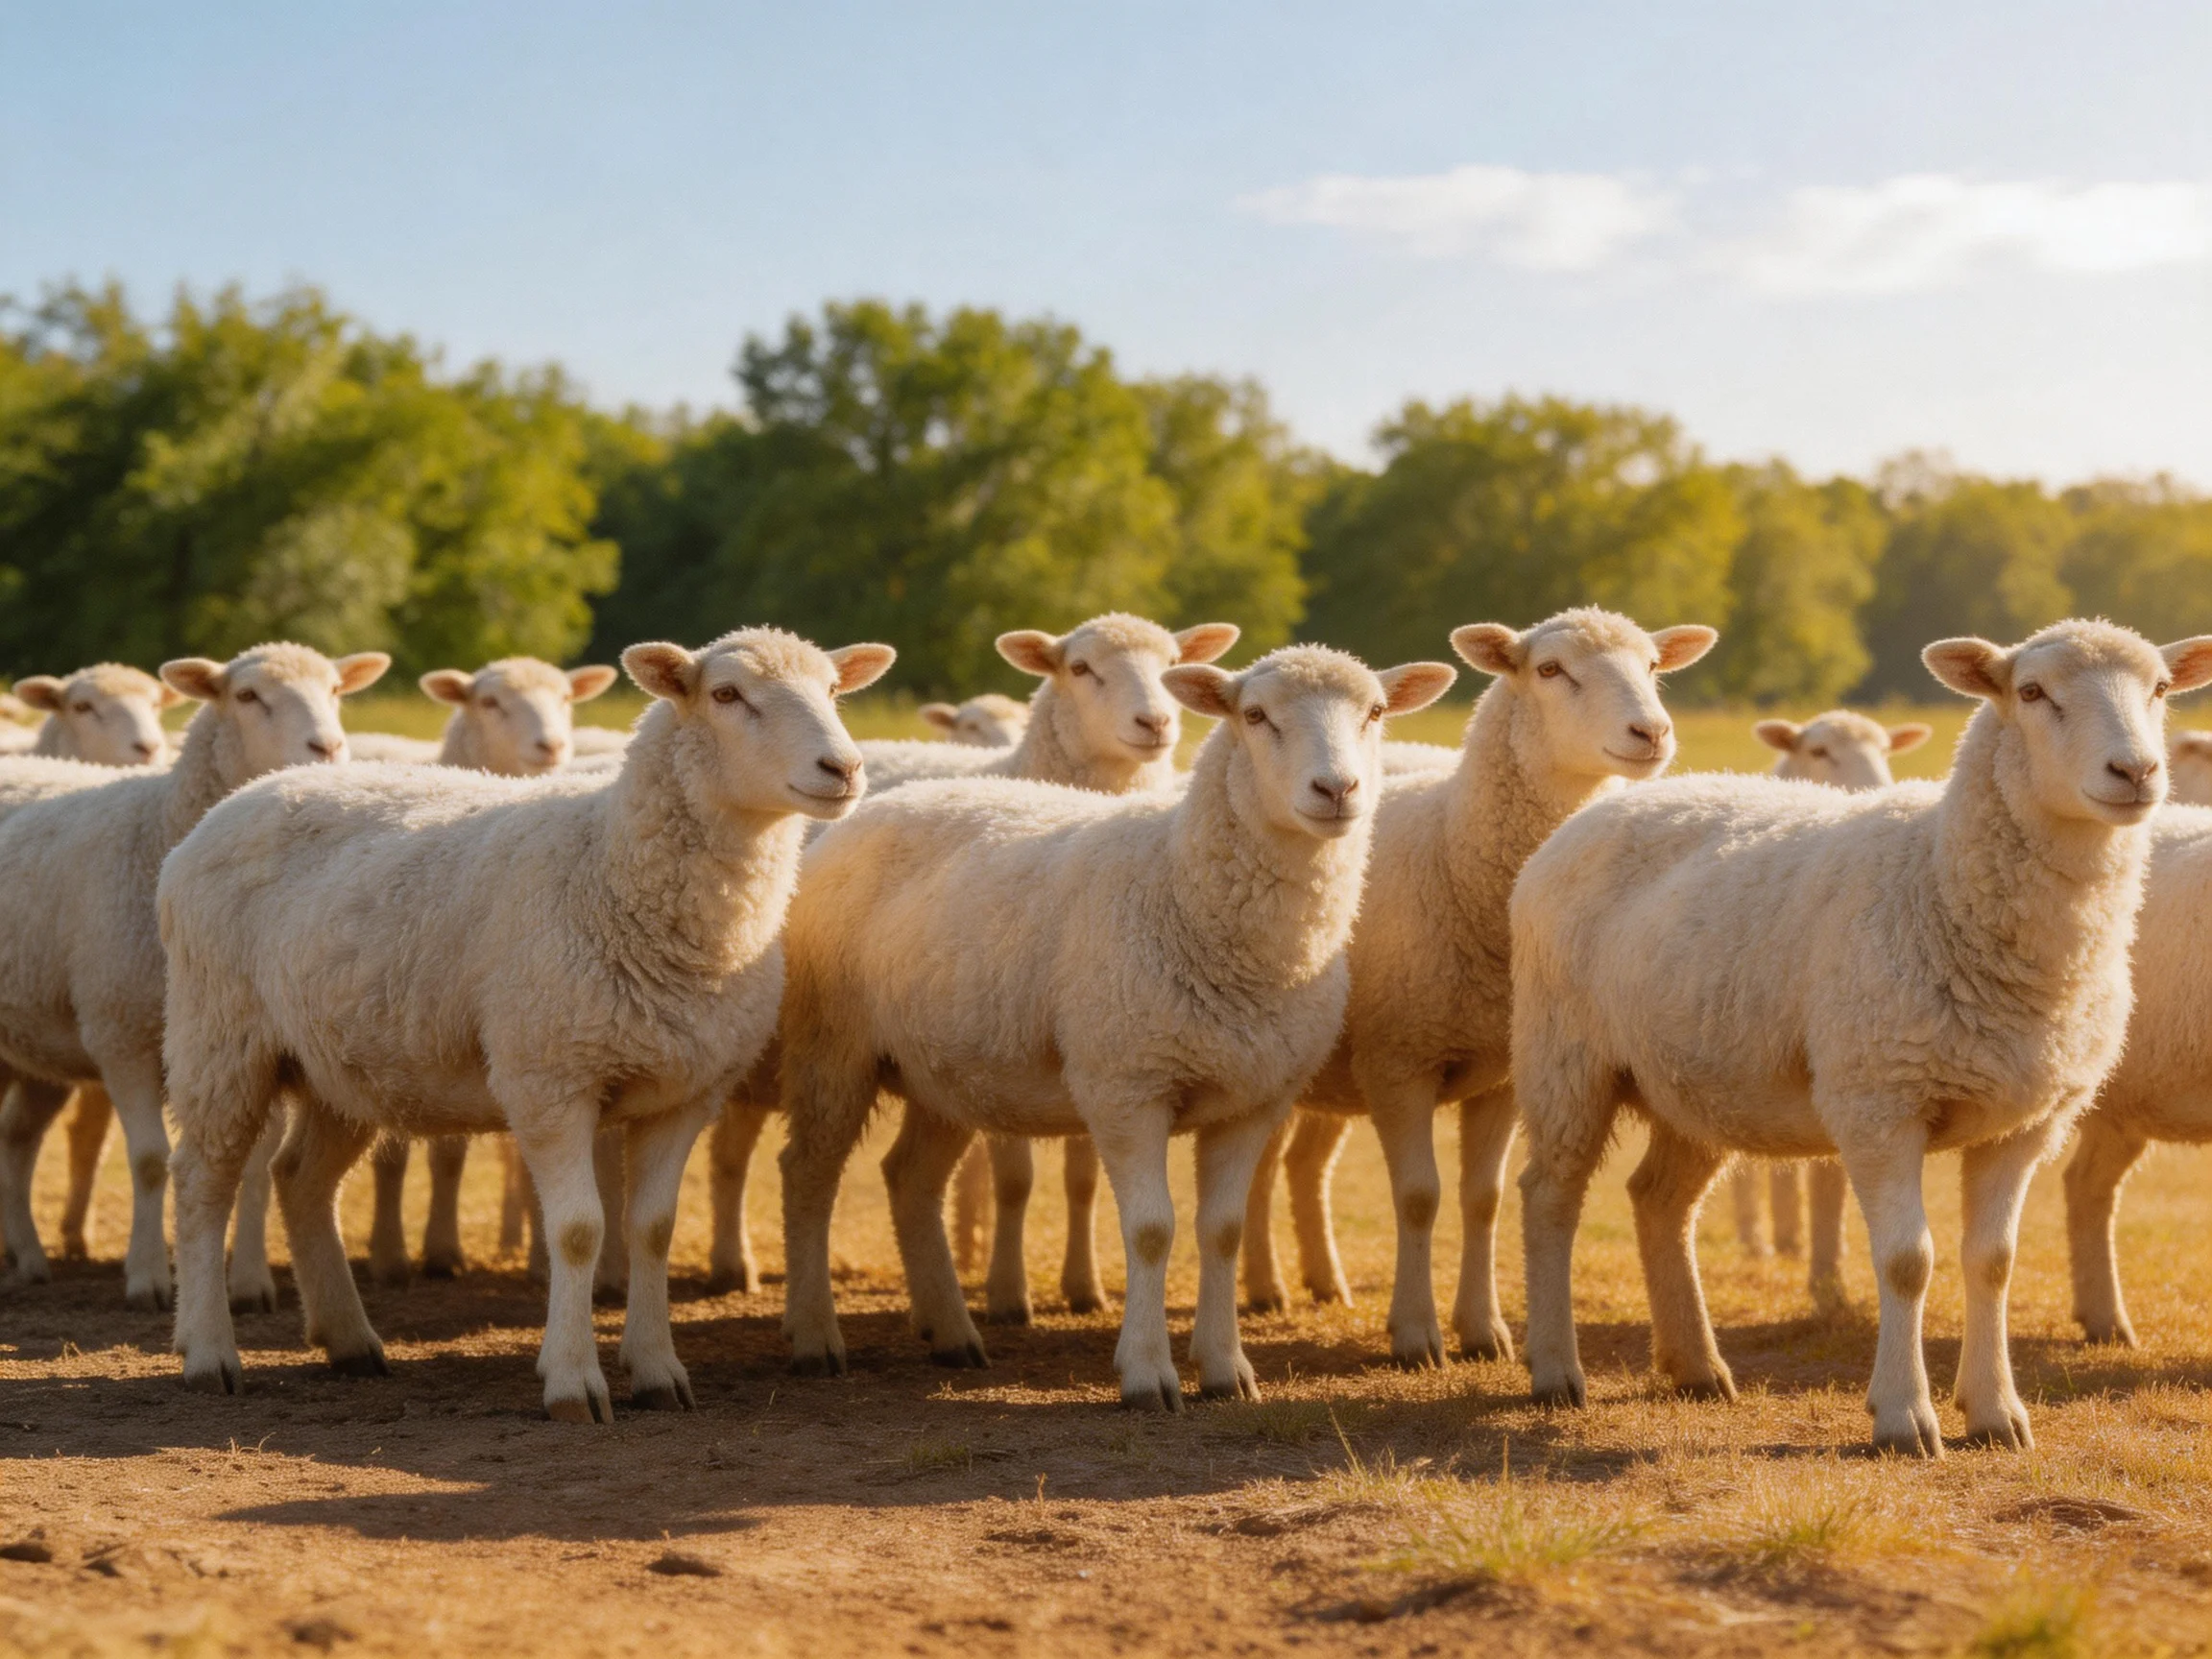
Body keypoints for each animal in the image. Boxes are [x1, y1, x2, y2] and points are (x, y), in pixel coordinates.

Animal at [0, 644, 391, 1307]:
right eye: (247, 695)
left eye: (337, 690)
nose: (328, 747)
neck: (158, 827)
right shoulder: (121, 1033)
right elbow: (149, 1160)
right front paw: (149, 1278)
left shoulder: (251, 1040)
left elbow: (255, 1165)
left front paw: (251, 1281)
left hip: (41, 1043)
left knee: (19, 1136)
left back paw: (26, 1256)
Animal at [161, 628, 891, 1418]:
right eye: (726, 694)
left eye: (833, 690)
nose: (843, 768)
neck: (612, 867)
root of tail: (244, 799)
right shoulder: (548, 1076)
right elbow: (577, 1231)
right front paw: (573, 1381)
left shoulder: (685, 1090)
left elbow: (652, 1230)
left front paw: (659, 1370)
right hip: (220, 1038)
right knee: (202, 1181)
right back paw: (209, 1353)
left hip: (341, 1061)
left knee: (299, 1178)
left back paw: (350, 1342)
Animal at [704, 613, 1238, 1306]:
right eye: (1081, 668)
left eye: (1172, 662)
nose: (1155, 723)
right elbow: (1015, 1177)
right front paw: (1009, 1292)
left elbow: (1083, 1177)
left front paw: (1083, 1285)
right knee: (728, 1153)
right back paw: (726, 1265)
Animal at [777, 644, 1455, 1406]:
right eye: (1254, 715)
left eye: (1376, 712)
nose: (1336, 789)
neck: (1183, 885)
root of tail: (878, 806)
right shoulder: (1127, 1085)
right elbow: (1153, 1229)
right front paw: (1148, 1373)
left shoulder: (1253, 1098)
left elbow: (1221, 1229)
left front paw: (1226, 1369)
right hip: (833, 1045)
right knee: (808, 1175)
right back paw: (815, 1337)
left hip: (941, 1069)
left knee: (910, 1179)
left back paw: (953, 1334)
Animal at [1239, 611, 1717, 1367]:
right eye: (1550, 669)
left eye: (1651, 665)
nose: (1652, 733)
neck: (1456, 853)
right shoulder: (1398, 1060)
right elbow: (1418, 1196)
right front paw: (1416, 1334)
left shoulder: (1502, 1076)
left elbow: (1482, 1197)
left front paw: (1483, 1328)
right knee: (1260, 1166)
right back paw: (1264, 1287)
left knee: (1299, 1164)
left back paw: (1321, 1282)